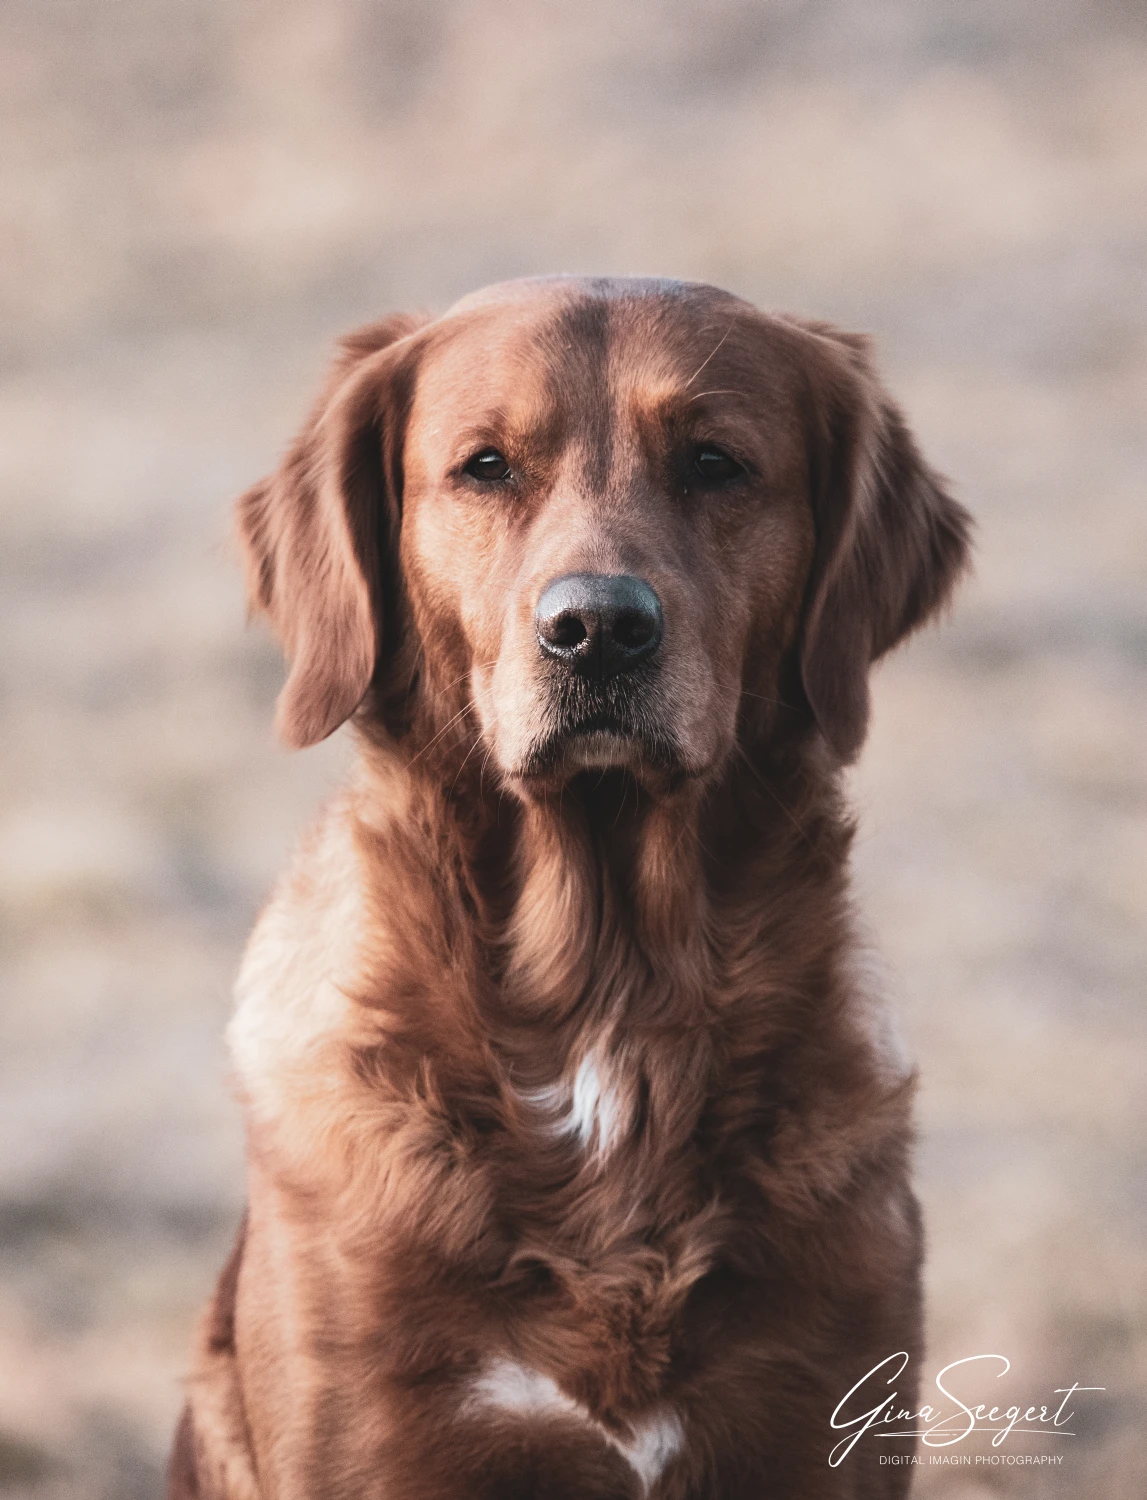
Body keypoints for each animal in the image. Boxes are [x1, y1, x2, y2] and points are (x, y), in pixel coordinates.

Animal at [170, 276, 971, 1494]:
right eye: (485, 466)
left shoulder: (823, 1413)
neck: (608, 1002)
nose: (596, 628)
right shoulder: (377, 1431)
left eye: (713, 462)